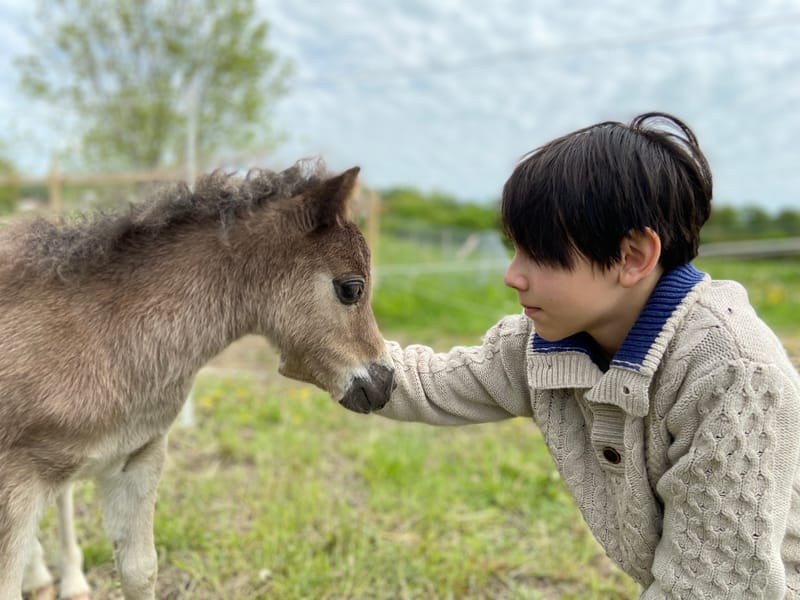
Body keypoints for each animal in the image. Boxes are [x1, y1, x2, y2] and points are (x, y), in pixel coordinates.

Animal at [0, 162, 394, 596]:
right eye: (351, 289)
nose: (385, 382)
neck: (101, 333)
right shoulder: (16, 483)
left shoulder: (136, 457)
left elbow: (140, 571)